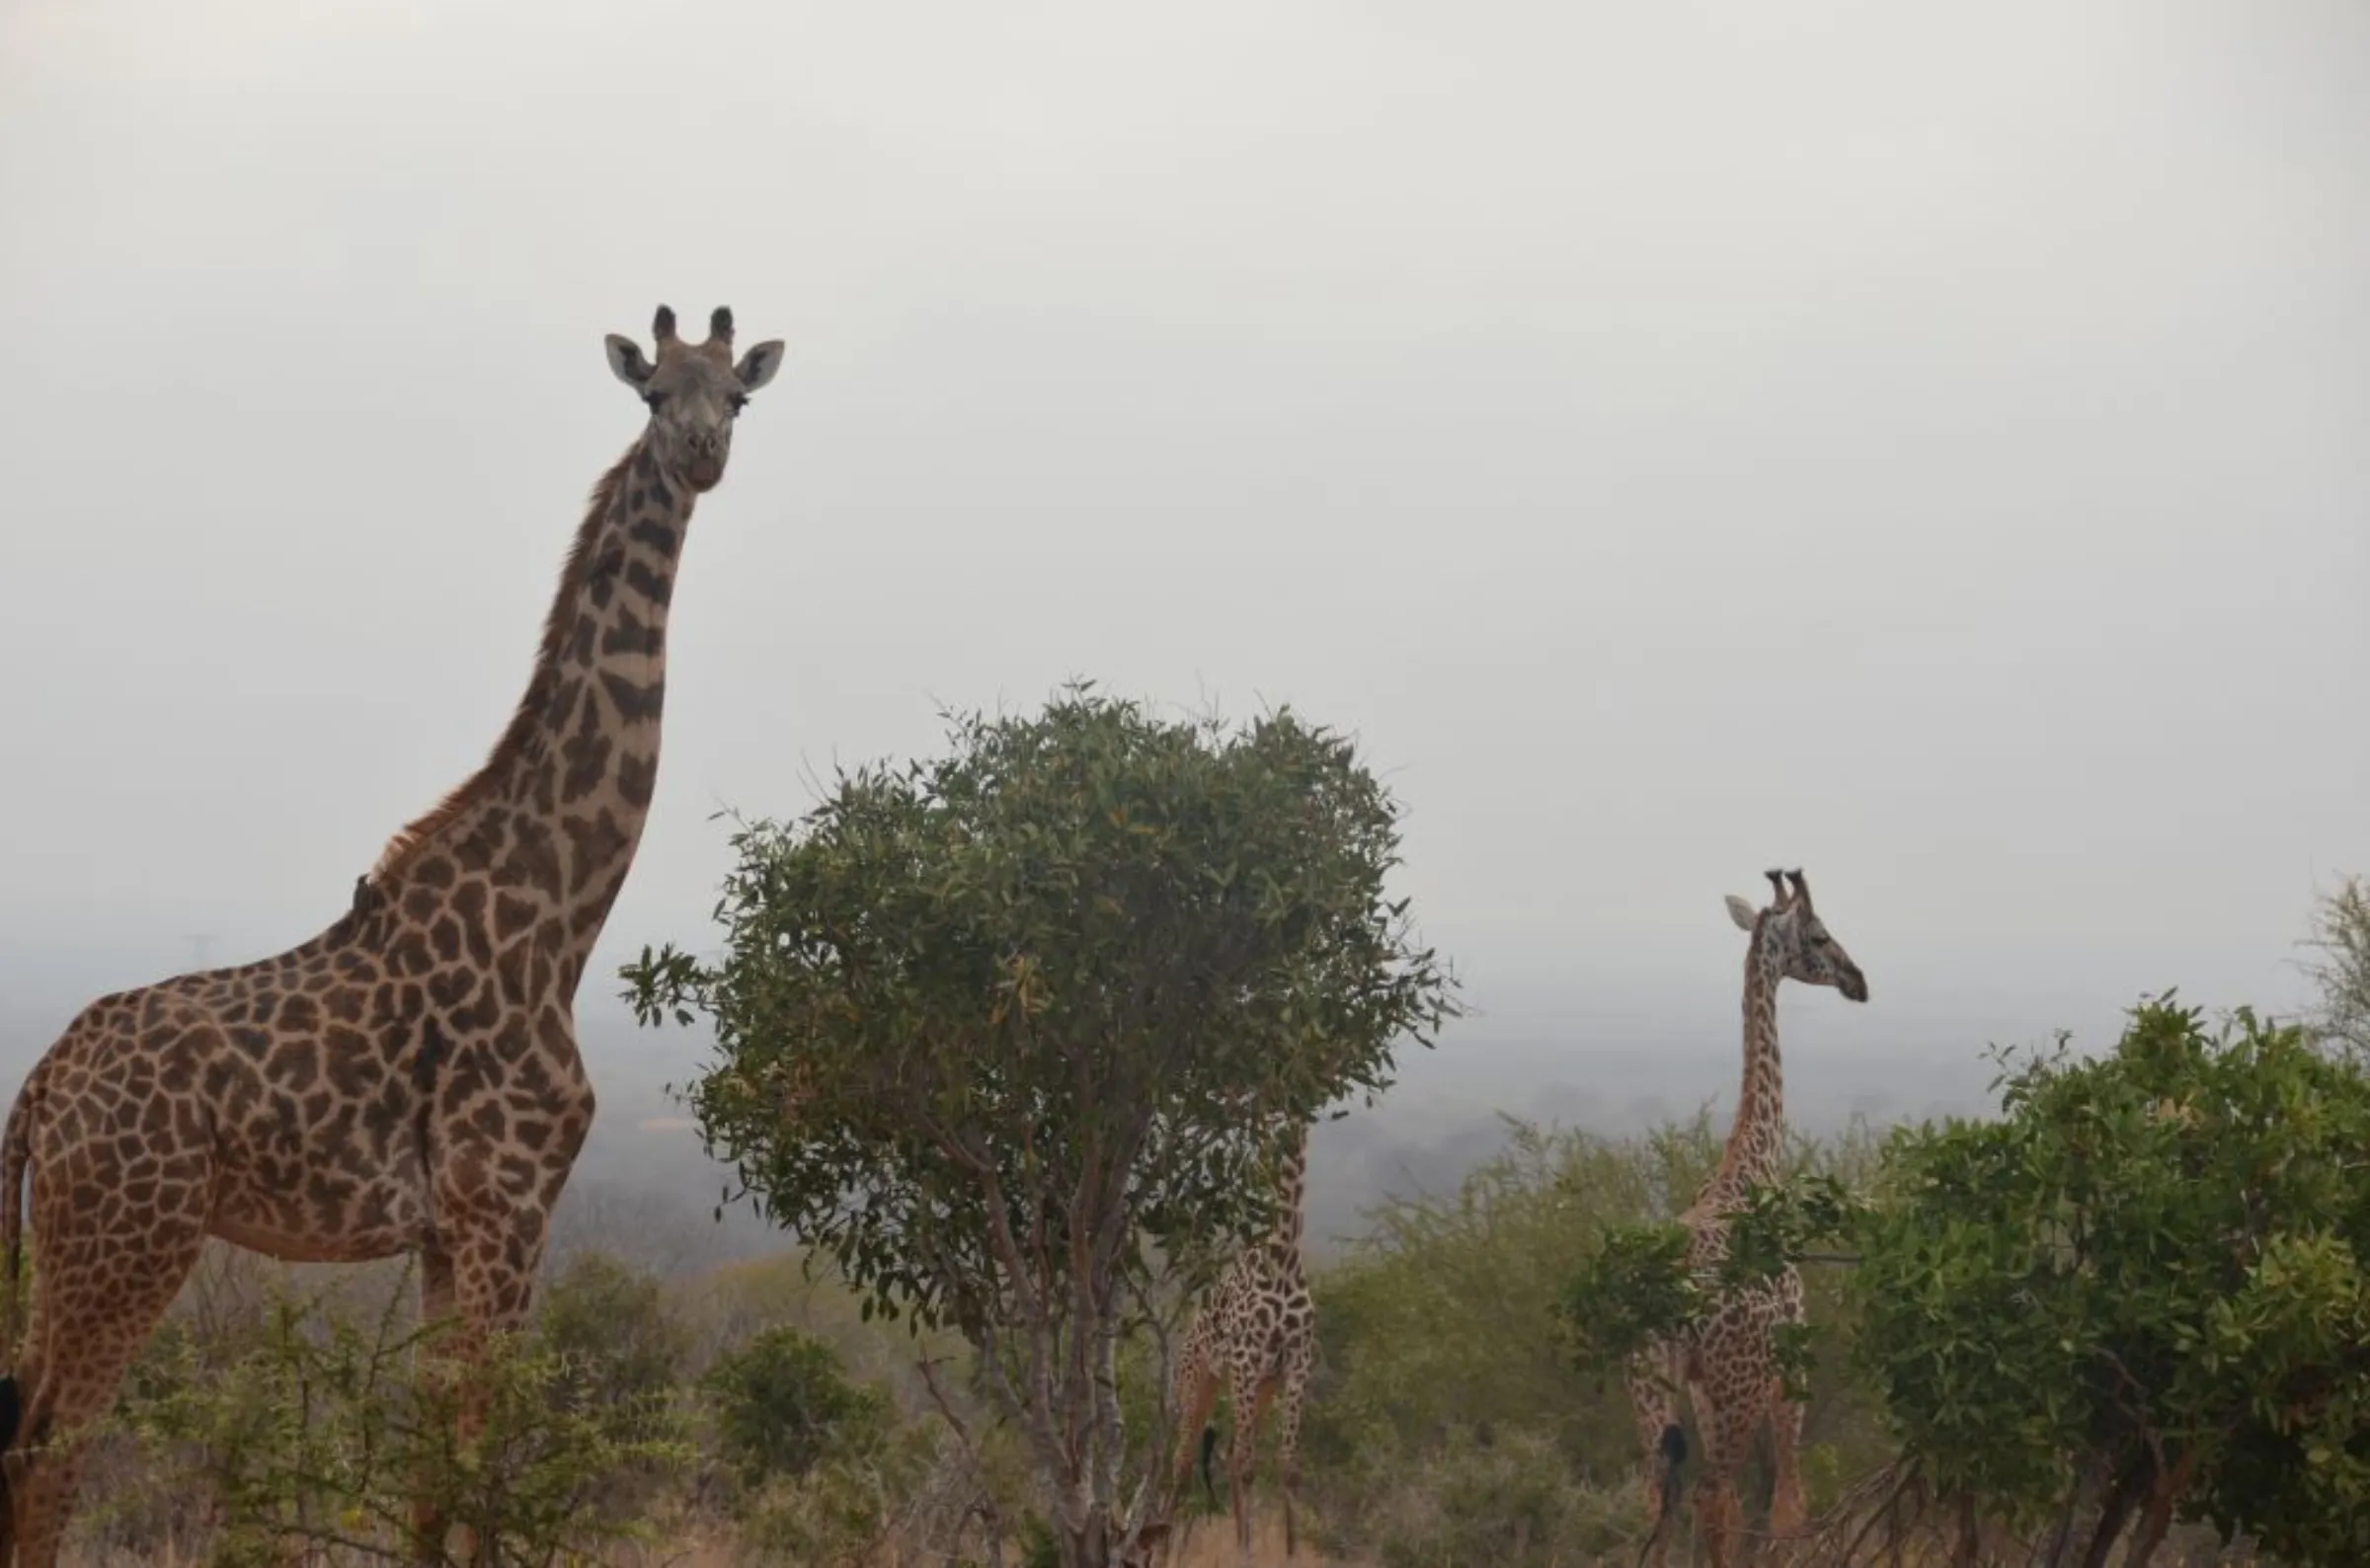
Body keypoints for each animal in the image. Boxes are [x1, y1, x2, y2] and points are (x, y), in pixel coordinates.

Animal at [0, 307, 796, 1568]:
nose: (702, 450)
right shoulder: (507, 1208)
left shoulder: (444, 1232)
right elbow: (484, 1467)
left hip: (77, 1244)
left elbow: (432, 1478)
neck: (557, 921)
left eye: (740, 397)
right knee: (46, 1453)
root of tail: (37, 1089)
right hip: (127, 1240)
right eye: (652, 393)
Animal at [1151, 1123, 1307, 1563]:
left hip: (1261, 1386)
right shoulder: (1245, 1363)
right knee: (1184, 1459)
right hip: (1199, 1380)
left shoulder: (1295, 1366)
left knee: (1230, 1453)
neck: (1285, 1257)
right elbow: (1250, 1466)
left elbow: (1289, 1466)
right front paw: (1247, 1553)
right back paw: (1162, 1553)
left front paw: (1290, 1555)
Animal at [1630, 871, 1867, 1568]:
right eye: (1820, 935)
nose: (1859, 980)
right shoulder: (1789, 1362)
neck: (1752, 1164)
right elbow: (1789, 1503)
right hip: (1737, 1387)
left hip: (1651, 1386)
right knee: (1713, 1496)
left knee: (1658, 1498)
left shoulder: (1703, 1389)